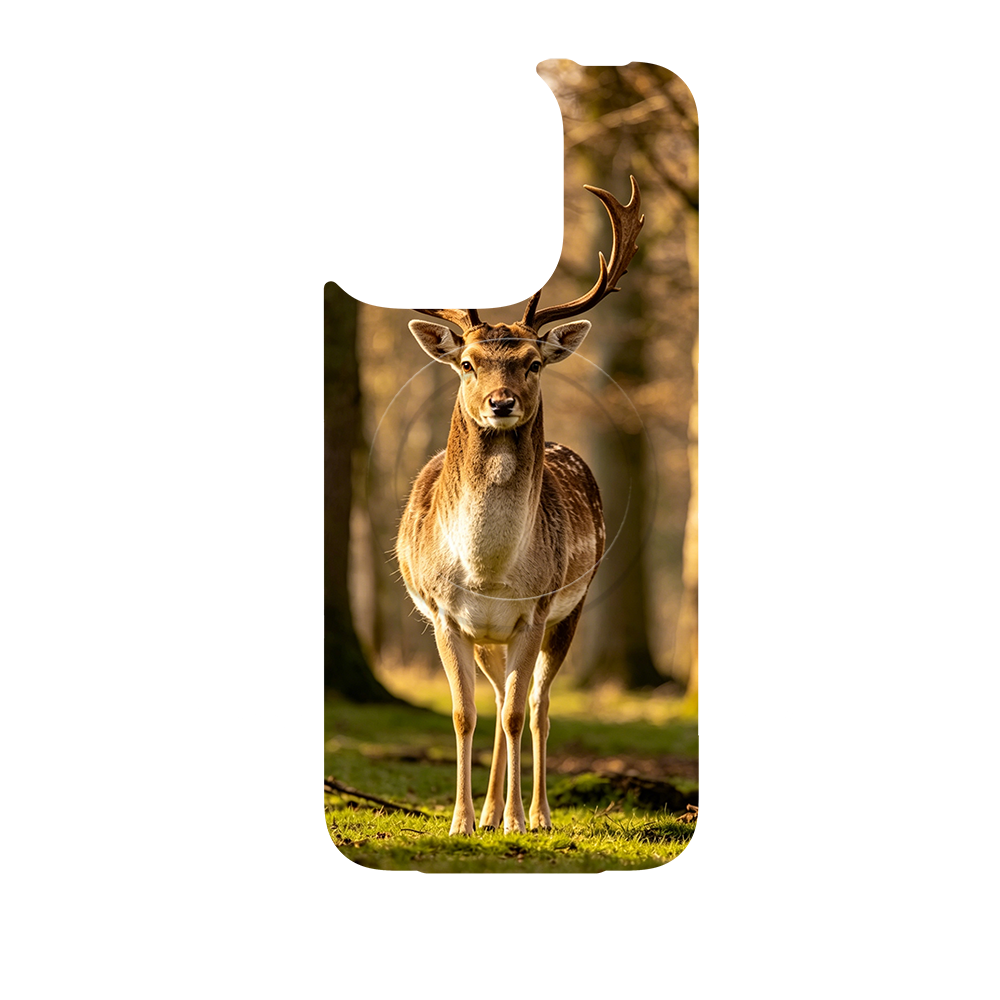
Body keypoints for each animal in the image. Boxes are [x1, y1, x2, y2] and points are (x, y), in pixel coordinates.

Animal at [395, 177, 644, 835]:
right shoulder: (444, 615)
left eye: (532, 362)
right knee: (497, 701)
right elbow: (464, 714)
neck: (488, 571)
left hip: (566, 614)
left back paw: (537, 815)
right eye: (467, 363)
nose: (501, 402)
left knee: (536, 705)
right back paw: (485, 813)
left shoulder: (534, 611)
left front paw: (514, 821)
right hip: (488, 638)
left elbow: (514, 713)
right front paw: (460, 822)